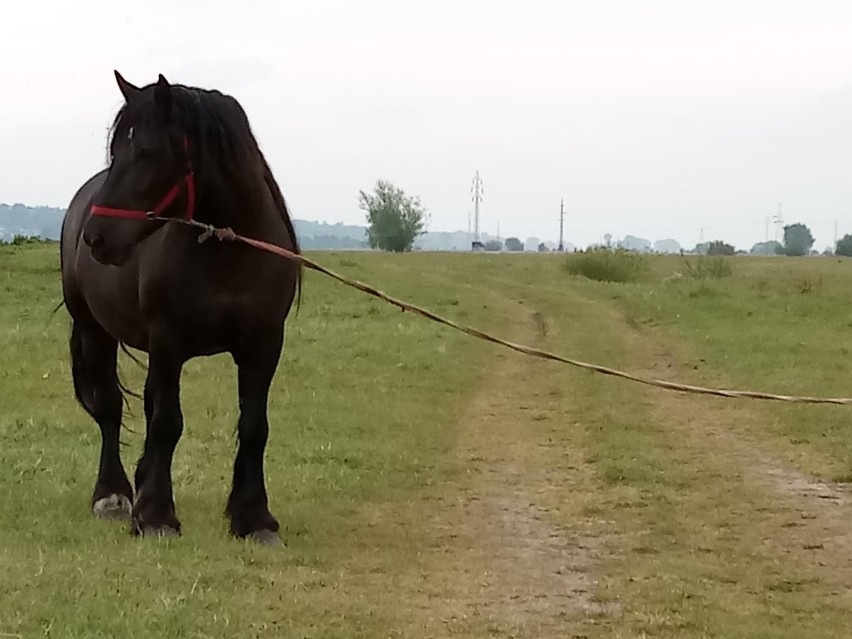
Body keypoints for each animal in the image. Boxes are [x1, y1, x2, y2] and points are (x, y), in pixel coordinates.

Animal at [60, 71, 302, 544]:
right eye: (116, 150)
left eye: (148, 152)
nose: (96, 237)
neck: (227, 251)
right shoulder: (168, 342)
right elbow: (167, 423)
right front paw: (156, 515)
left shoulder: (263, 346)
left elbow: (254, 426)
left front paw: (254, 518)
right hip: (96, 331)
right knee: (111, 409)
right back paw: (114, 496)